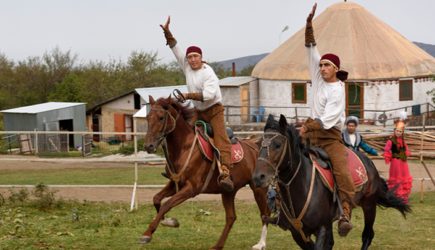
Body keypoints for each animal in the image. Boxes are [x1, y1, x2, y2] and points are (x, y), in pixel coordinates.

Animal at [141, 95, 270, 250]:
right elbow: (156, 199)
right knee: (231, 217)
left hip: (258, 188)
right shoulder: (174, 183)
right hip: (228, 191)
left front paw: (147, 234)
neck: (185, 147)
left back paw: (261, 244)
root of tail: (257, 146)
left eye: (161, 118)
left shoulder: (191, 188)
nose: (148, 146)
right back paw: (217, 246)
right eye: (148, 117)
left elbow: (166, 204)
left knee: (265, 214)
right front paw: (169, 221)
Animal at [252, 115, 412, 250]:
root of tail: (368, 161)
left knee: (367, 235)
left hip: (369, 205)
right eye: (259, 143)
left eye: (278, 144)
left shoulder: (322, 228)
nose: (258, 177)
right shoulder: (298, 233)